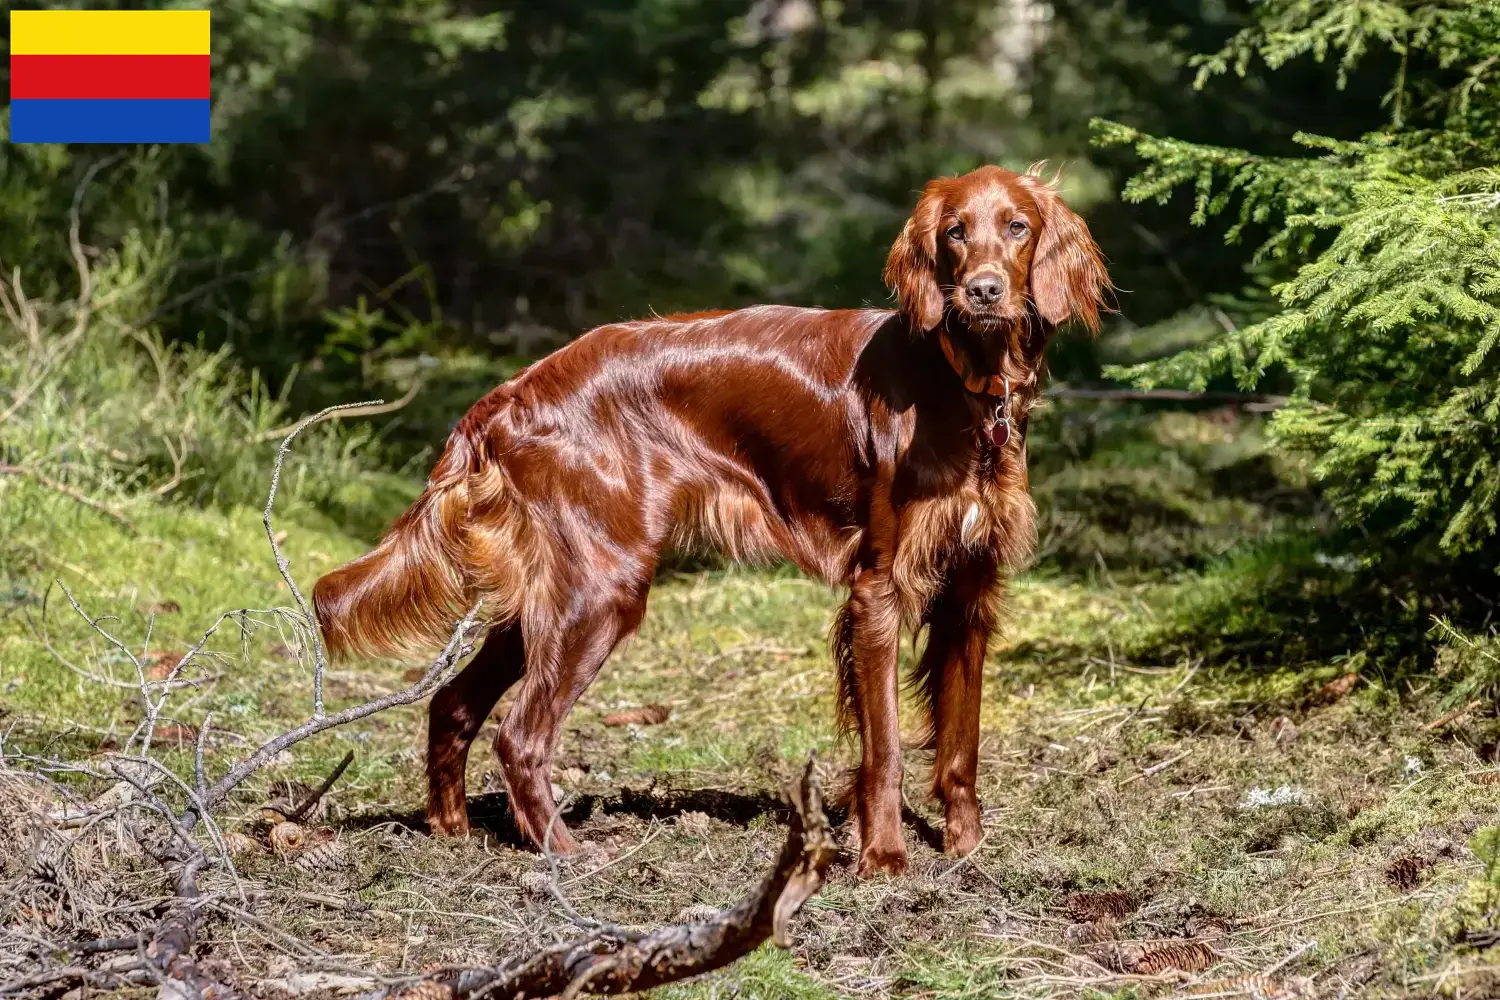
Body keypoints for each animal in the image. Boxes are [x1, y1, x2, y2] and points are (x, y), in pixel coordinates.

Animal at [313, 164, 1116, 875]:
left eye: (1016, 227)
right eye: (955, 232)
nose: (983, 290)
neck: (961, 385)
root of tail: (513, 391)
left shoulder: (970, 592)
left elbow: (961, 742)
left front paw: (966, 847)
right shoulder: (879, 591)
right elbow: (884, 748)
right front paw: (884, 859)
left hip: (554, 591)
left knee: (452, 703)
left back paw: (451, 830)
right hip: (601, 588)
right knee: (520, 734)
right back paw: (565, 854)